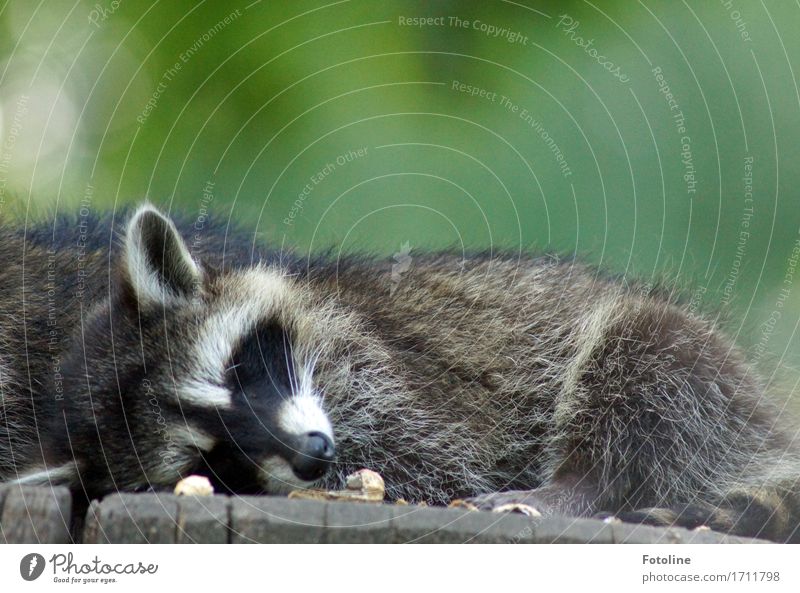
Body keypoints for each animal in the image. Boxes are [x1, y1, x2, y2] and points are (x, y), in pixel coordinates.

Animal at [0, 204, 796, 540]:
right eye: (212, 461)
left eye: (238, 366)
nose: (312, 454)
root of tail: (771, 430)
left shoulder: (382, 367)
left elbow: (438, 463)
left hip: (702, 375)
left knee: (645, 365)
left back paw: (584, 483)